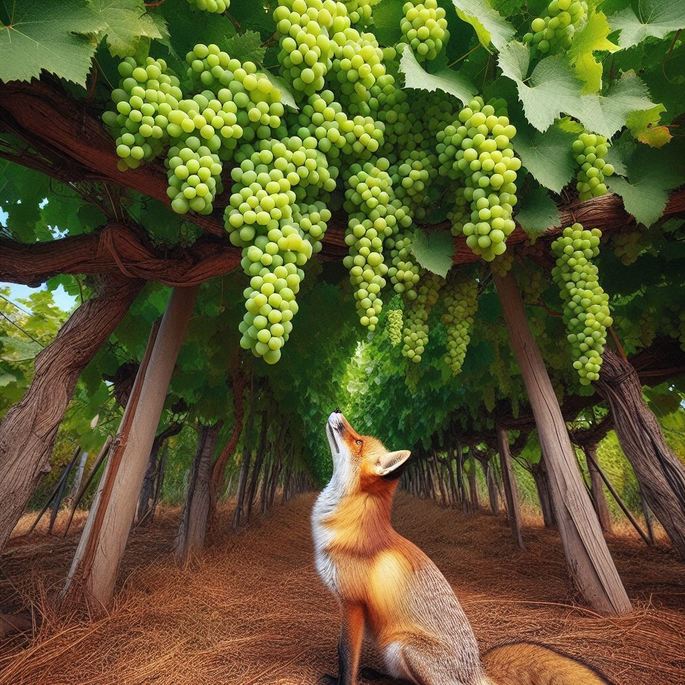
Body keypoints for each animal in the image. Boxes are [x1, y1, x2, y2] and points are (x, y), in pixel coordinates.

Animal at [312, 411, 615, 685]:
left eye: (358, 441)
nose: (337, 410)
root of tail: (476, 671)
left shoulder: (353, 604)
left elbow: (346, 658)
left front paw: (341, 681)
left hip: (402, 647)